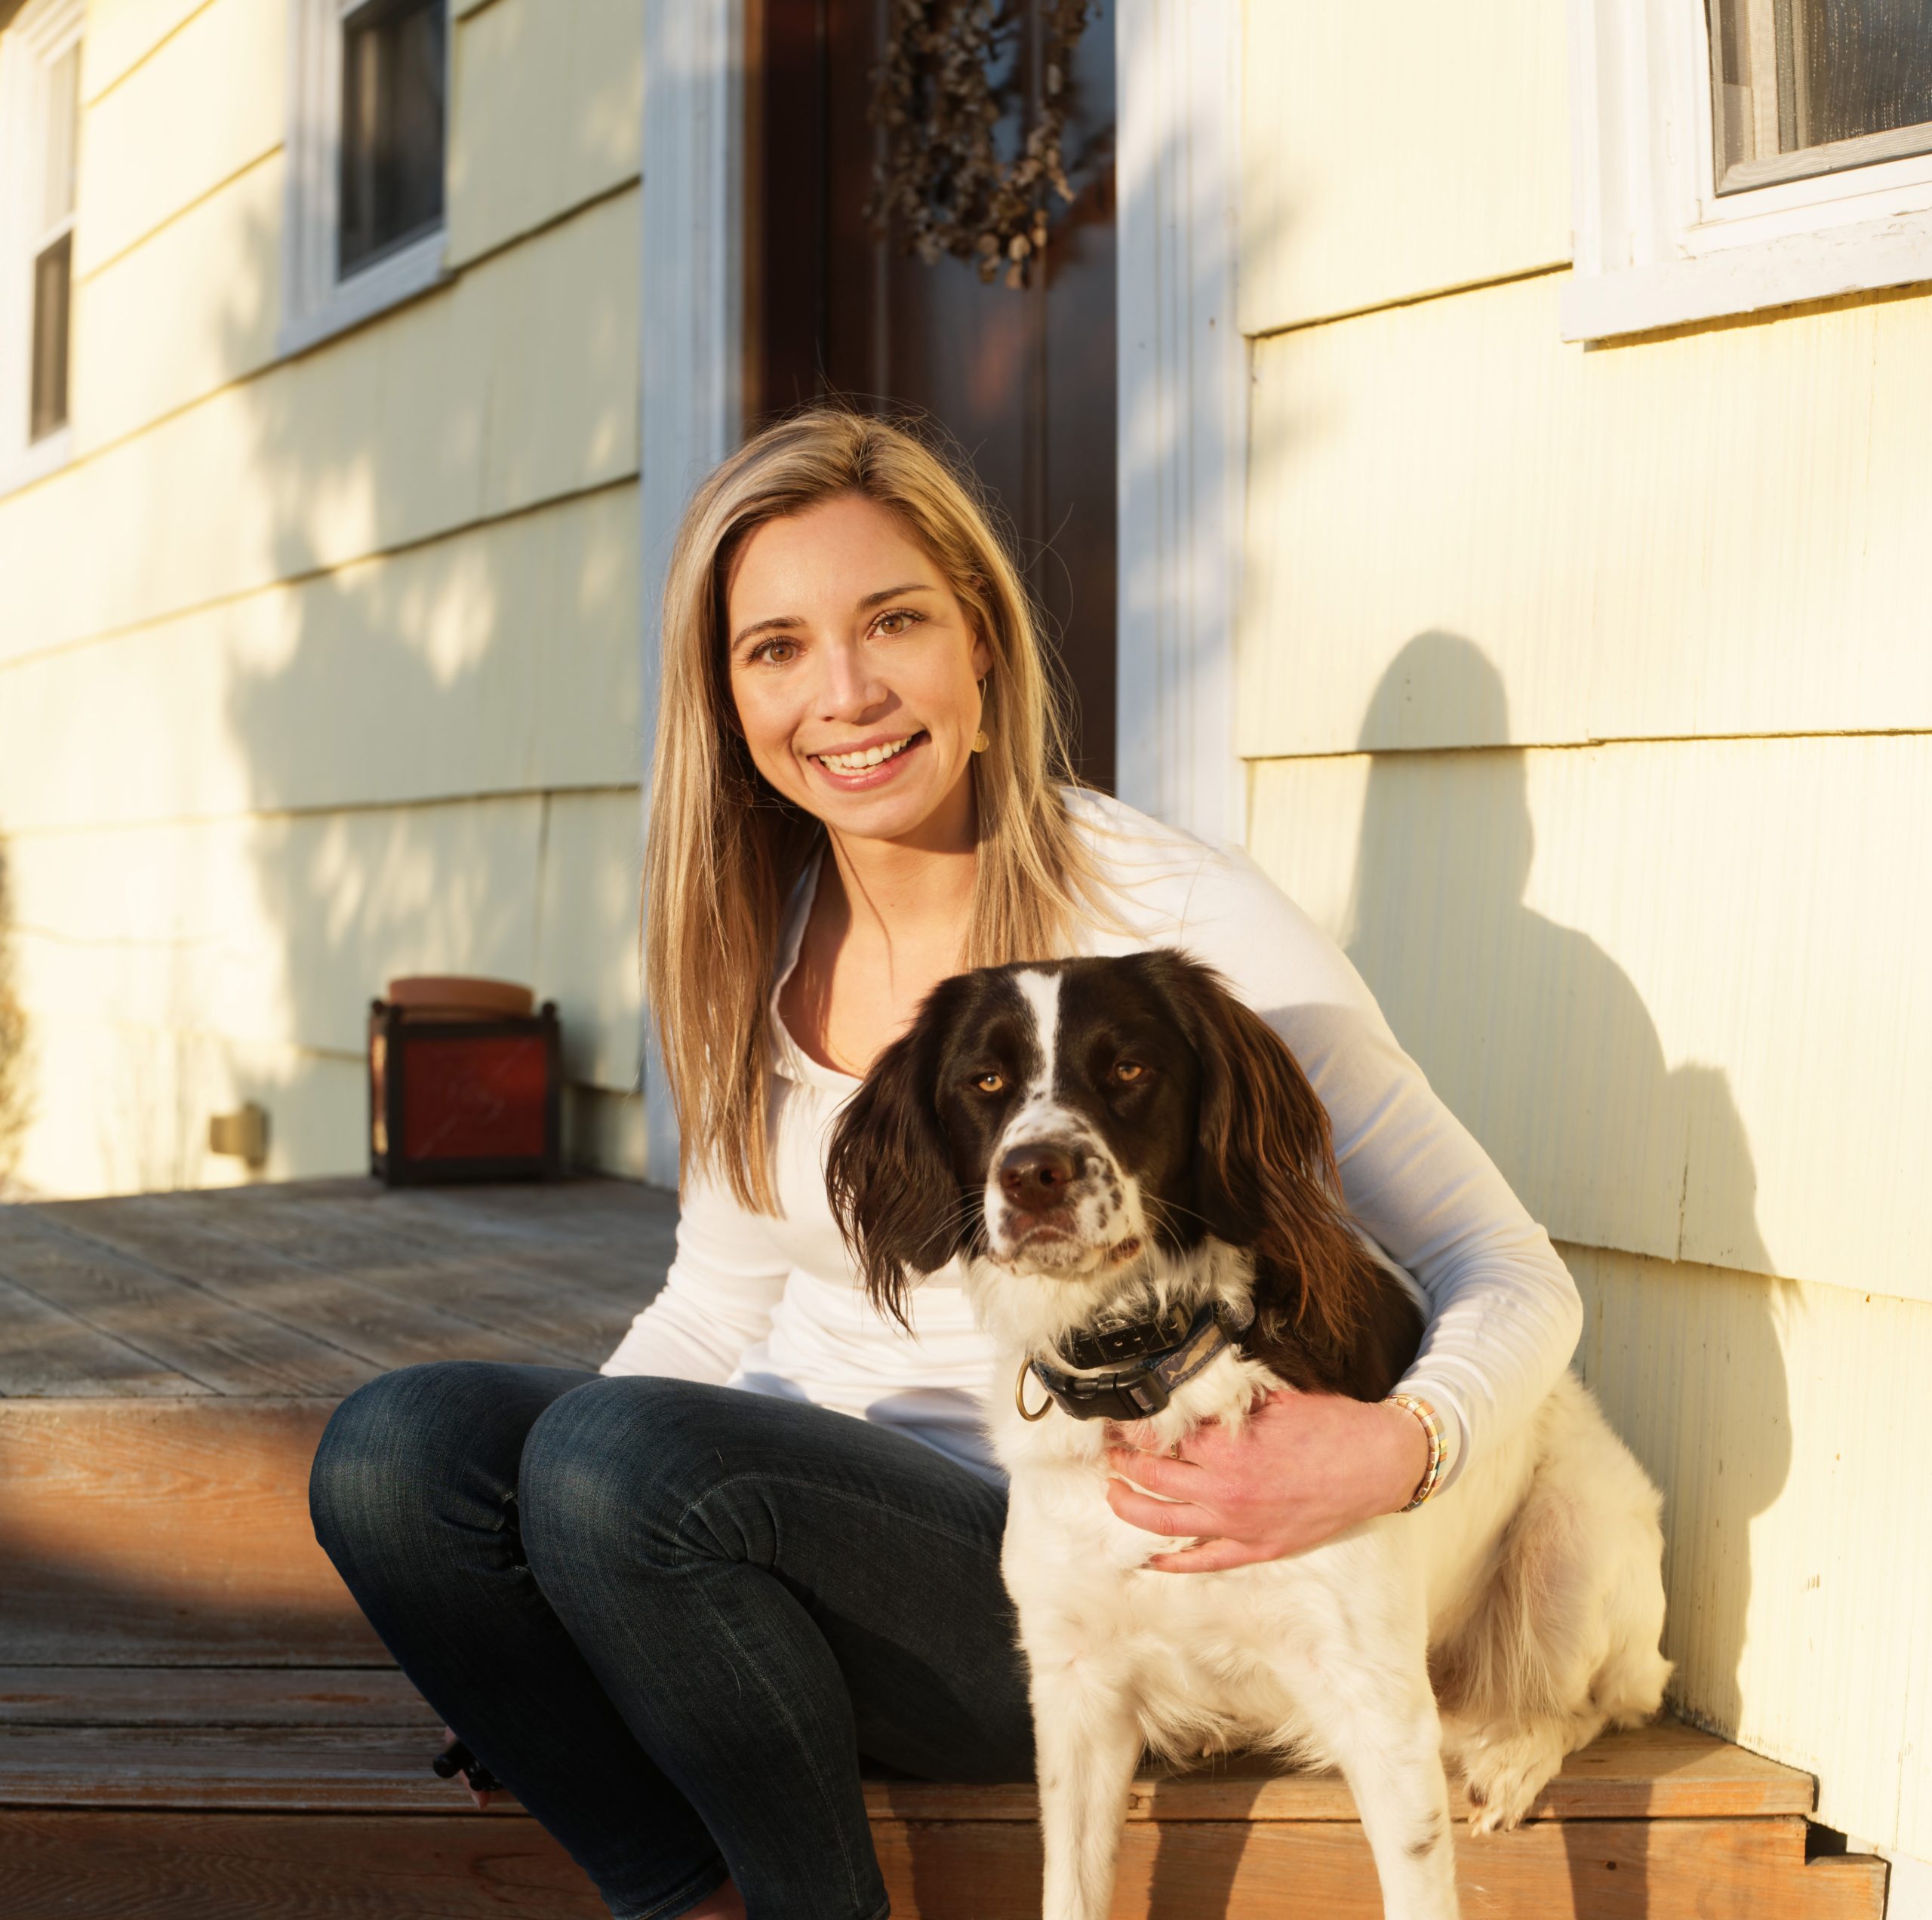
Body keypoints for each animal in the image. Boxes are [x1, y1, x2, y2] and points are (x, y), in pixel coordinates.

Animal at [823, 950, 1669, 1908]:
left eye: (1129, 1068)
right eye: (985, 1081)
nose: (1035, 1173)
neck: (1152, 1367)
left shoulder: (1376, 1699)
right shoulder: (1074, 1688)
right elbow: (1070, 1888)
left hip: (1571, 1547)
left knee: (1603, 1699)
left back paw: (1514, 1752)